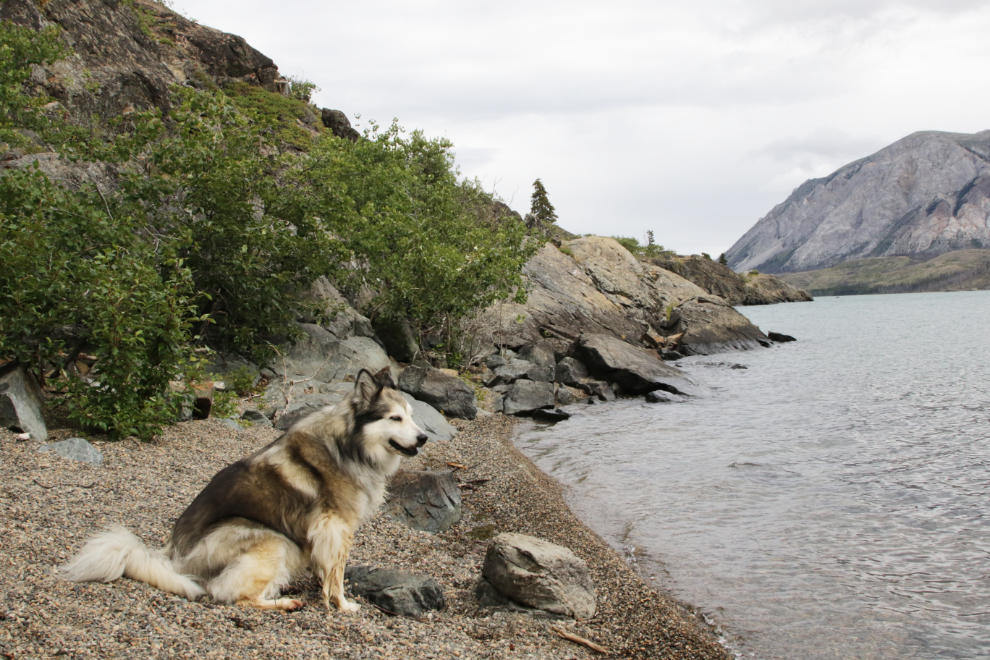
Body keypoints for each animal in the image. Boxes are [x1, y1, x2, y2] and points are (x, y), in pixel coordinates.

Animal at [60, 368, 428, 612]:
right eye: (394, 418)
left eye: (411, 415)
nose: (424, 437)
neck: (349, 445)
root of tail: (173, 558)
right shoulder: (335, 526)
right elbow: (336, 572)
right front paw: (342, 605)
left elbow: (326, 567)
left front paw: (323, 588)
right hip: (271, 540)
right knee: (232, 594)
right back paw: (285, 603)